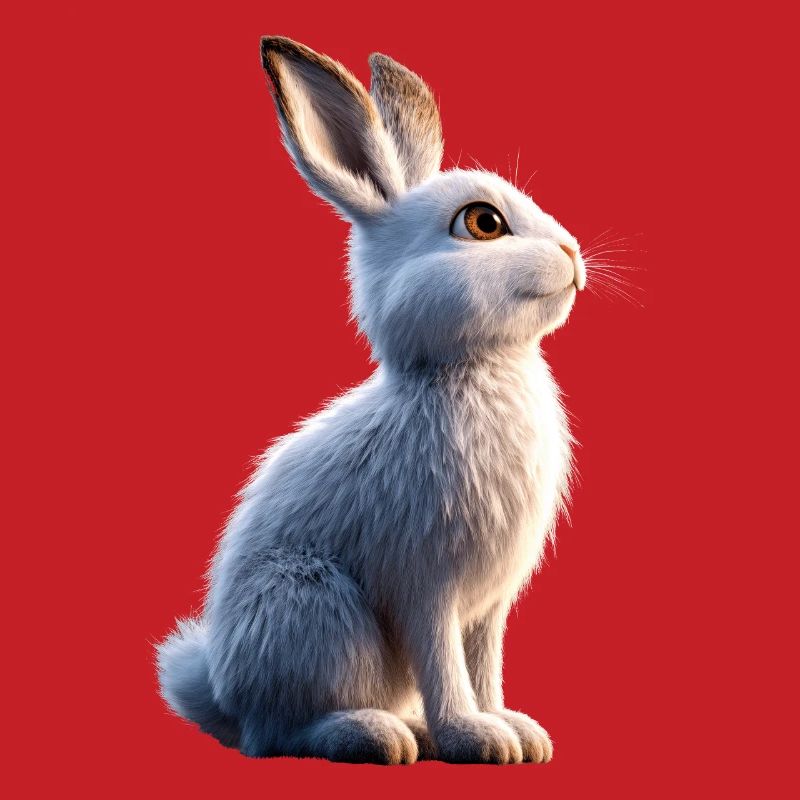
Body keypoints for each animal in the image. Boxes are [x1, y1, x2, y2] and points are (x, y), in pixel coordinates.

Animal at [156, 35, 586, 765]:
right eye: (483, 222)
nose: (573, 254)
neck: (469, 369)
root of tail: (222, 695)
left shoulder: (489, 607)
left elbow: (484, 666)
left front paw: (517, 733)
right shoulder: (425, 585)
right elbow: (445, 666)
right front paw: (474, 738)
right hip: (317, 609)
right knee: (279, 734)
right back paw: (376, 735)